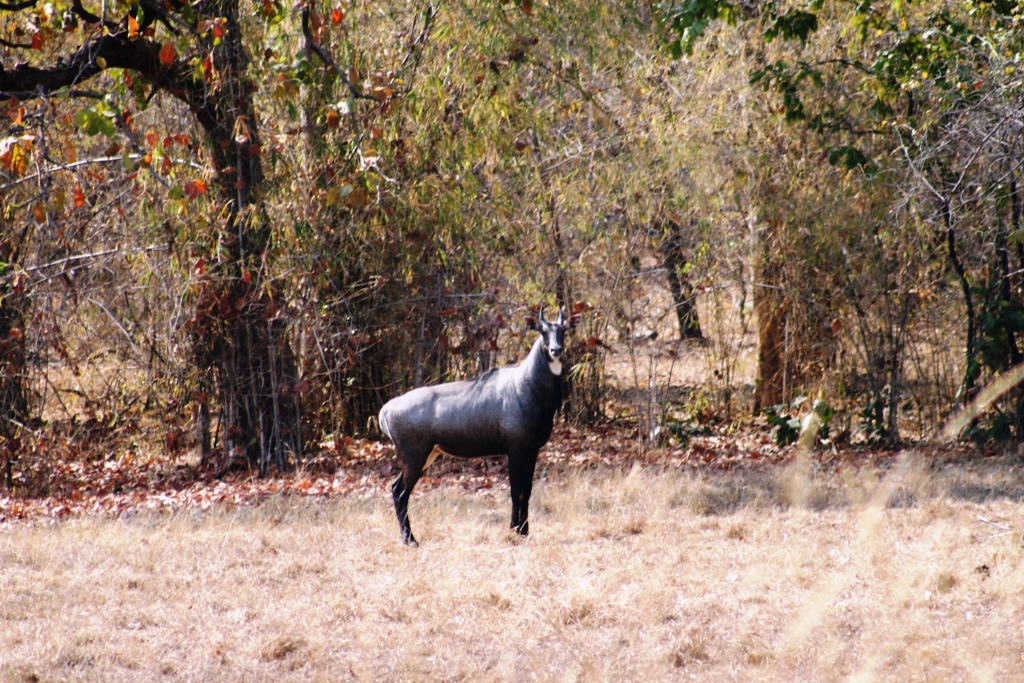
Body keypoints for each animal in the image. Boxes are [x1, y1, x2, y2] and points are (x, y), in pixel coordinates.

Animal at [378, 307, 585, 548]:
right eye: (543, 331)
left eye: (563, 330)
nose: (556, 349)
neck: (527, 385)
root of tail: (386, 410)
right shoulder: (515, 449)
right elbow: (517, 491)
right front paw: (514, 531)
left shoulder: (533, 450)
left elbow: (528, 491)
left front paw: (525, 531)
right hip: (415, 455)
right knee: (401, 493)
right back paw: (410, 539)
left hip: (428, 454)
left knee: (396, 489)